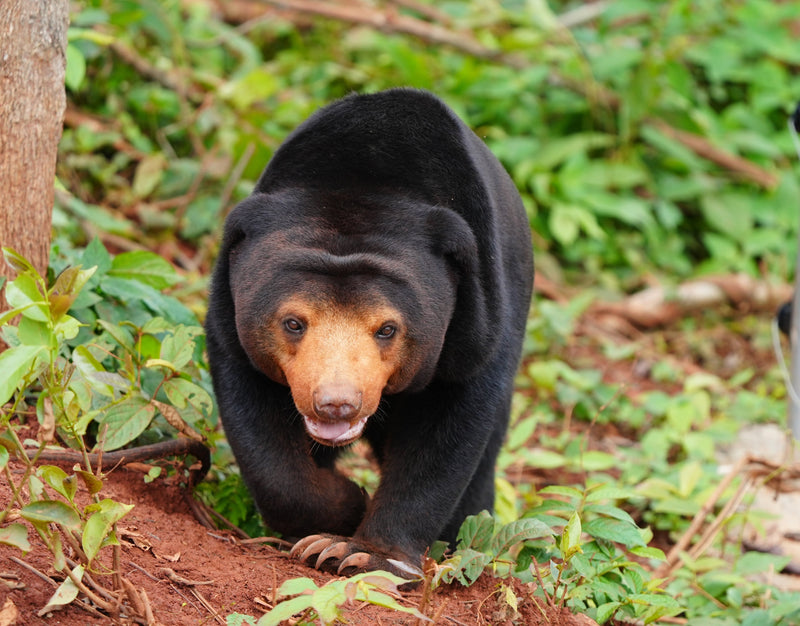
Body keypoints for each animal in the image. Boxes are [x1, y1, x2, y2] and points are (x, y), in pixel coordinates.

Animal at [205, 88, 533, 578]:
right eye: (293, 322)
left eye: (387, 329)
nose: (336, 404)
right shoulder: (230, 315)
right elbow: (257, 424)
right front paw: (342, 508)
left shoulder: (478, 322)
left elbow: (448, 431)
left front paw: (361, 552)